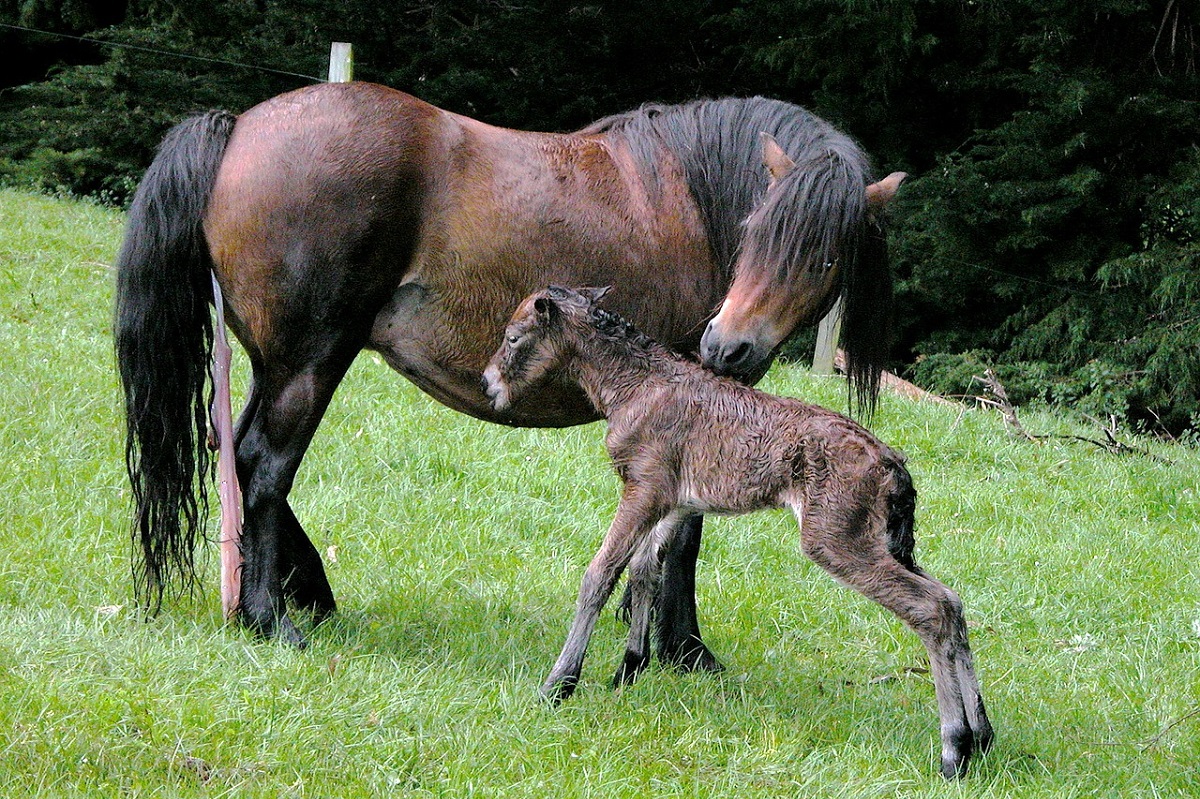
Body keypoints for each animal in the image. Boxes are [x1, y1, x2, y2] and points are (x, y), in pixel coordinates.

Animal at [114, 81, 901, 656]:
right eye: (755, 230)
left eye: (826, 257)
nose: (726, 346)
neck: (689, 193)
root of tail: (238, 128)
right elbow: (684, 534)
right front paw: (684, 649)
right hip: (309, 363)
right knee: (264, 467)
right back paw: (272, 617)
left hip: (274, 366)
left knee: (235, 457)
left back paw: (296, 595)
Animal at [482, 286, 993, 779]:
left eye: (513, 337)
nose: (489, 384)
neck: (636, 386)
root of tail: (893, 465)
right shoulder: (675, 501)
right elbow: (646, 571)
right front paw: (629, 670)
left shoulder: (643, 488)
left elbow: (600, 575)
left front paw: (559, 684)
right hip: (885, 542)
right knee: (951, 601)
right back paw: (982, 735)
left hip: (835, 539)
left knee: (930, 608)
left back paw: (954, 749)